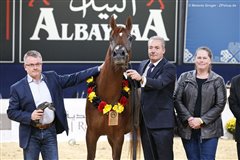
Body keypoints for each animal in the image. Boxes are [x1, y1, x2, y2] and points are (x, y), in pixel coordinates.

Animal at [86, 16, 139, 160]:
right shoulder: (91, 135)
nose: (119, 54)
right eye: (110, 37)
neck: (107, 96)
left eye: (130, 37)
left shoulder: (118, 138)